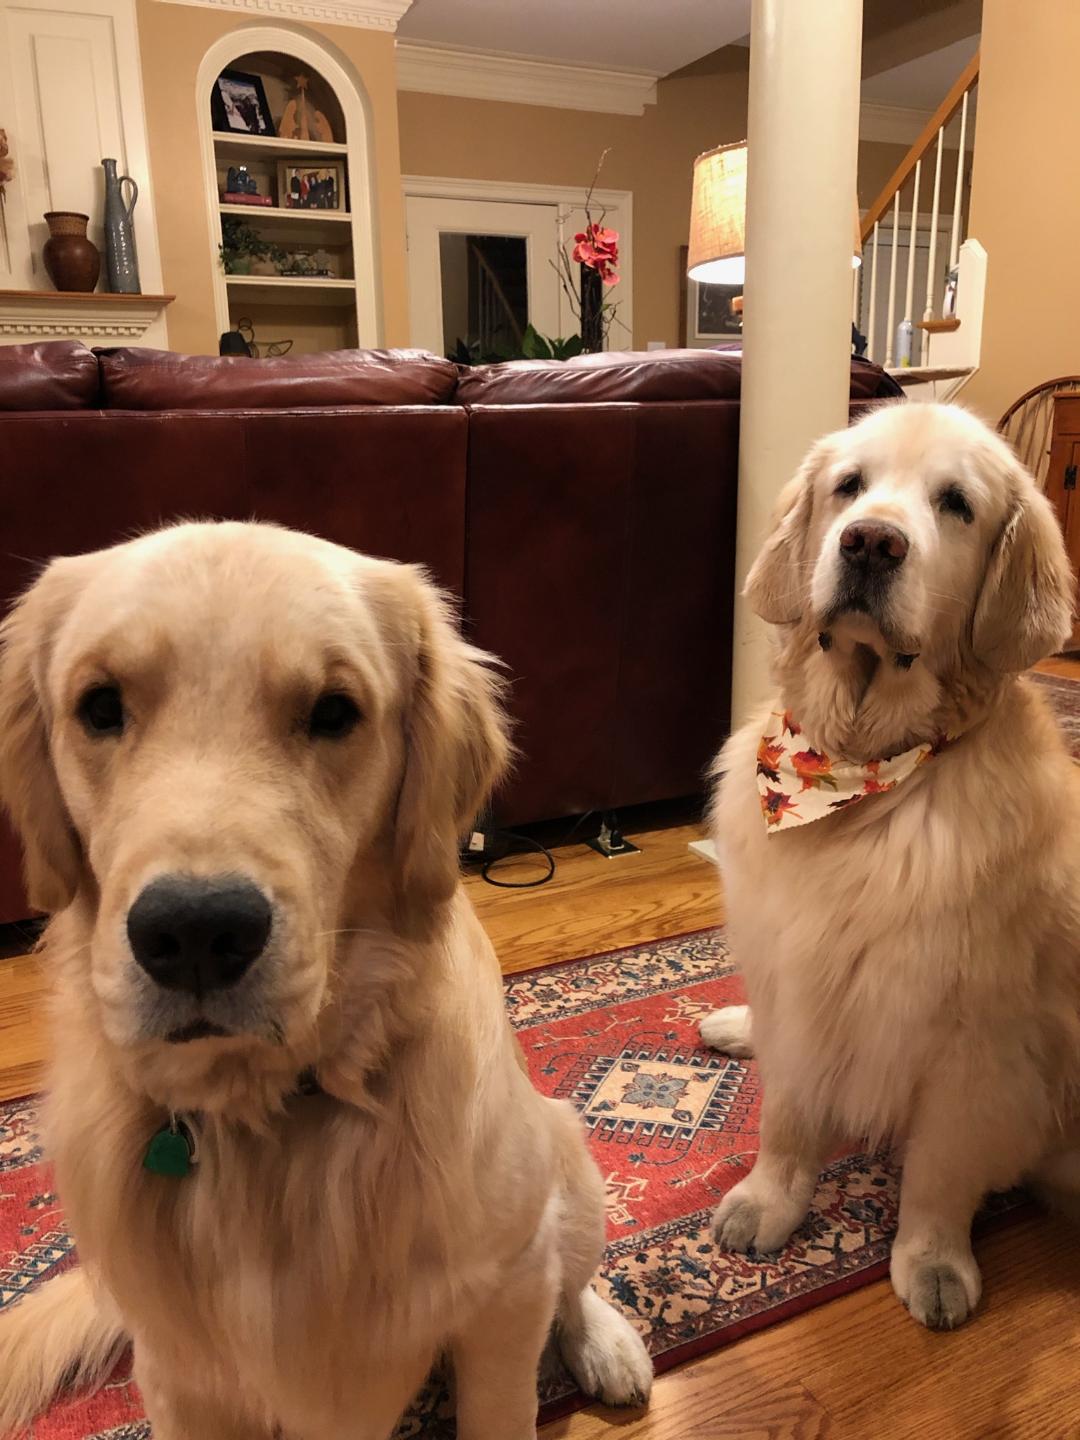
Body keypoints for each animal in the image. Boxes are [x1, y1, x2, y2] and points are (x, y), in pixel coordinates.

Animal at [0, 521, 652, 1438]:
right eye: (100, 706)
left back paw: (606, 1344)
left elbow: (507, 1382)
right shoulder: (180, 1375)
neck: (273, 1113)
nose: (194, 933)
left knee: (575, 1277)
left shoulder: (504, 1290)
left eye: (334, 712)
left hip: (566, 1160)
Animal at [699, 402, 1080, 1330]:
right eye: (850, 486)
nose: (871, 543)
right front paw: (769, 1200)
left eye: (957, 504)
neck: (854, 780)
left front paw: (935, 1259)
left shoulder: (979, 1037)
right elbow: (787, 1115)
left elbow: (941, 1168)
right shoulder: (797, 973)